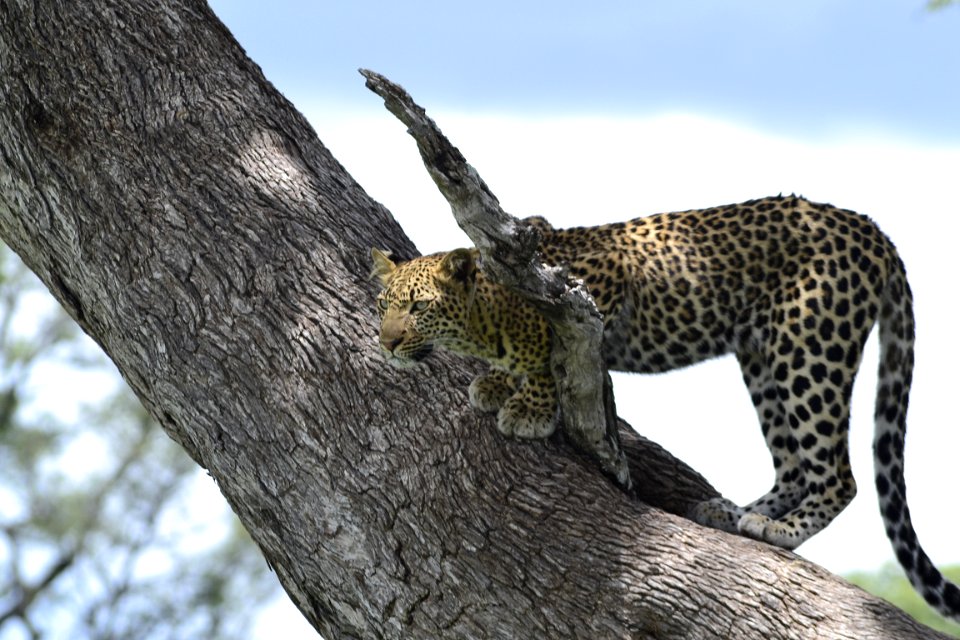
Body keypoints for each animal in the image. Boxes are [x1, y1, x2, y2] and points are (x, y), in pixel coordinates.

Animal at [370, 195, 960, 620]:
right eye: (383, 305)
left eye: (418, 307)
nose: (388, 342)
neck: (488, 314)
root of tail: (872, 229)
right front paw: (496, 381)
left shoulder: (600, 281)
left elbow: (555, 348)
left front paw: (530, 405)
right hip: (762, 356)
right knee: (794, 464)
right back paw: (734, 514)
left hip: (809, 346)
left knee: (838, 473)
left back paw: (782, 530)